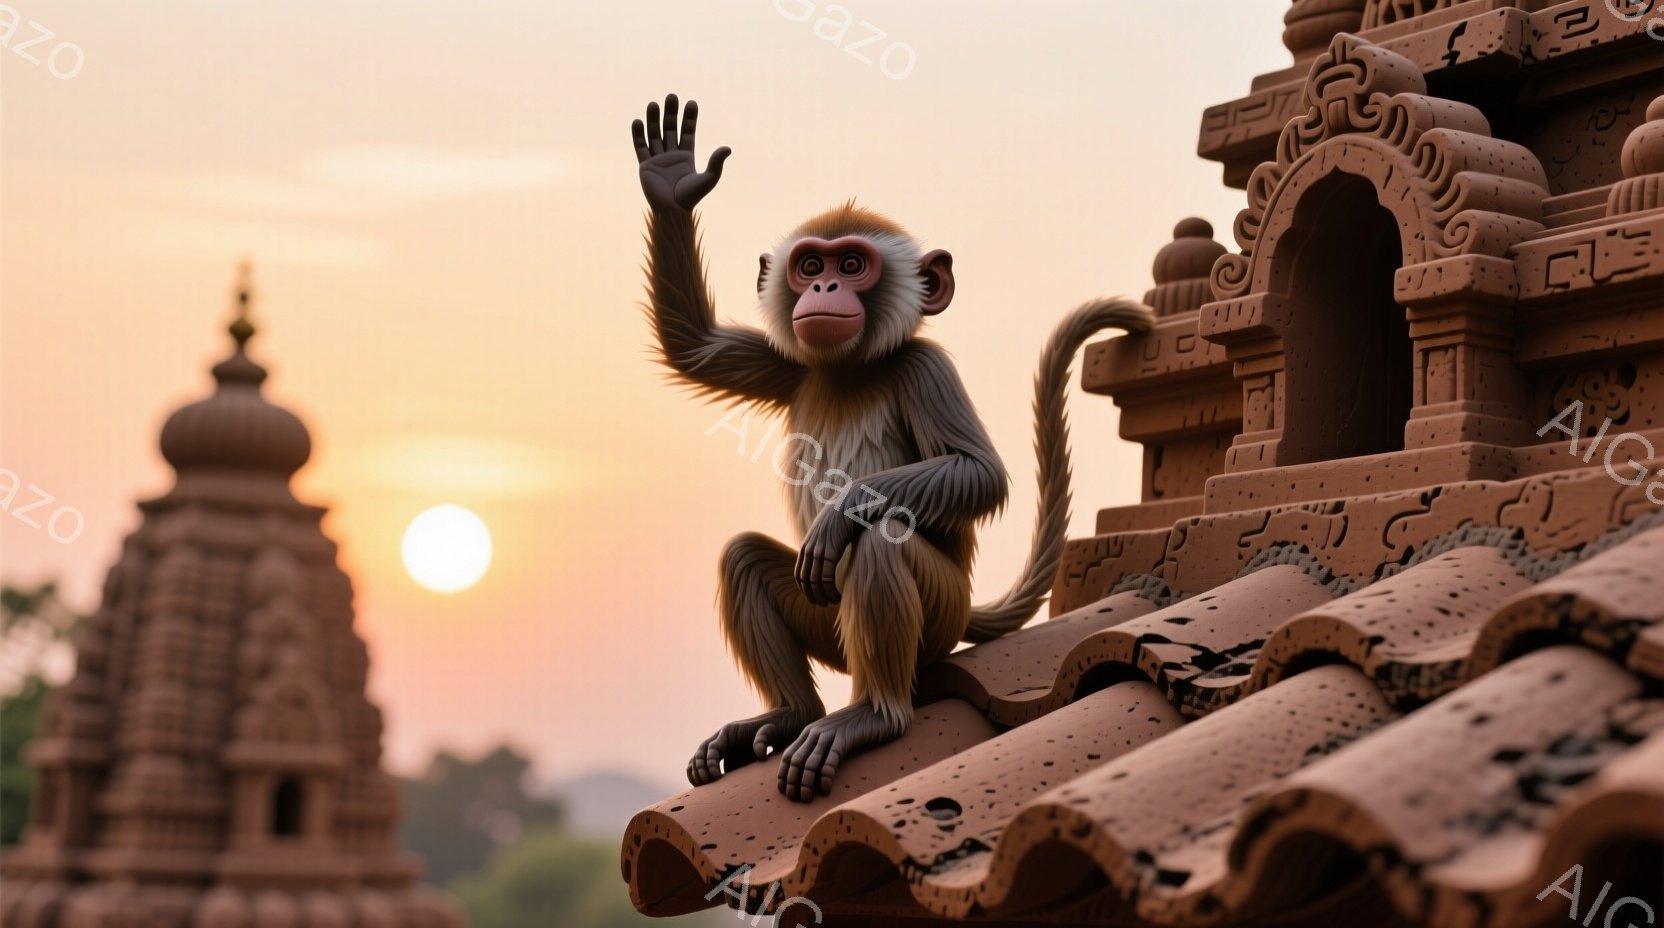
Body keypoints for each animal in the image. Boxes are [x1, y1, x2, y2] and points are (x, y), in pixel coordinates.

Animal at [631, 94, 1153, 802]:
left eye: (852, 266)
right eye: (811, 266)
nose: (824, 291)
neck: (854, 369)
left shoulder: (923, 366)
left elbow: (980, 474)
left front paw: (843, 508)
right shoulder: (791, 365)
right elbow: (695, 347)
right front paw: (672, 183)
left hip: (937, 616)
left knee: (884, 538)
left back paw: (874, 715)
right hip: (829, 624)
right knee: (746, 558)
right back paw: (790, 714)